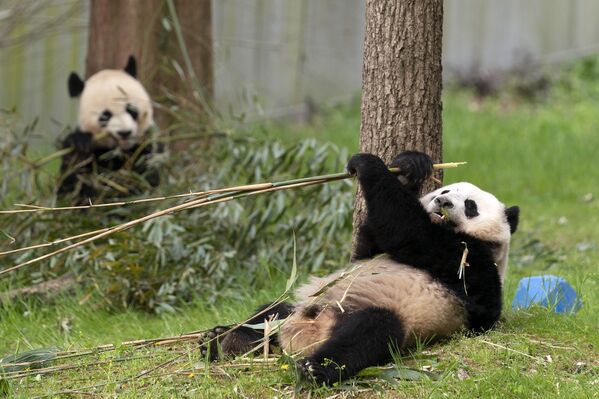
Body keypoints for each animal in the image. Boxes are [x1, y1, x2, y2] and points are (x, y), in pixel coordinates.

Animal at [57, 56, 163, 205]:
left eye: (131, 109)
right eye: (105, 116)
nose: (124, 133)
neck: (119, 151)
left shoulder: (148, 145)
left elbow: (147, 178)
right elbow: (71, 183)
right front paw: (80, 143)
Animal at [199, 152, 516, 386]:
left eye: (471, 205)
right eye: (446, 190)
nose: (443, 201)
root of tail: (301, 339)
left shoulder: (469, 260)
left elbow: (408, 230)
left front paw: (367, 163)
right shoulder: (372, 251)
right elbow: (368, 243)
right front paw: (411, 165)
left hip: (388, 316)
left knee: (369, 331)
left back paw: (314, 369)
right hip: (300, 309)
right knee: (270, 312)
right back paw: (222, 340)